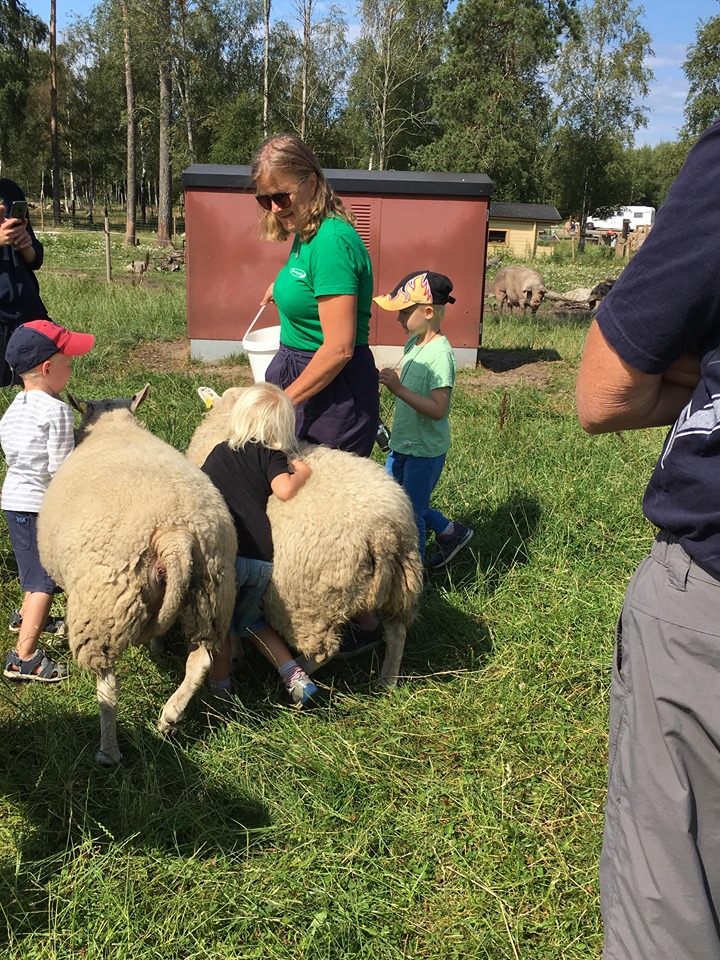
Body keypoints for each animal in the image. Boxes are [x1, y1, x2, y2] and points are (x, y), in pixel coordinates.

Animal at [38, 382, 235, 764]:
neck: (115, 428)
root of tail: (174, 535)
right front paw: (156, 649)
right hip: (210, 595)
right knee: (201, 660)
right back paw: (170, 717)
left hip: (104, 609)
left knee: (108, 689)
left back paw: (108, 752)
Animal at [187, 386, 422, 688]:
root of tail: (385, 532)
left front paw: (235, 655)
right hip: (400, 587)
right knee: (397, 632)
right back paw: (387, 681)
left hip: (307, 607)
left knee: (325, 651)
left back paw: (296, 672)